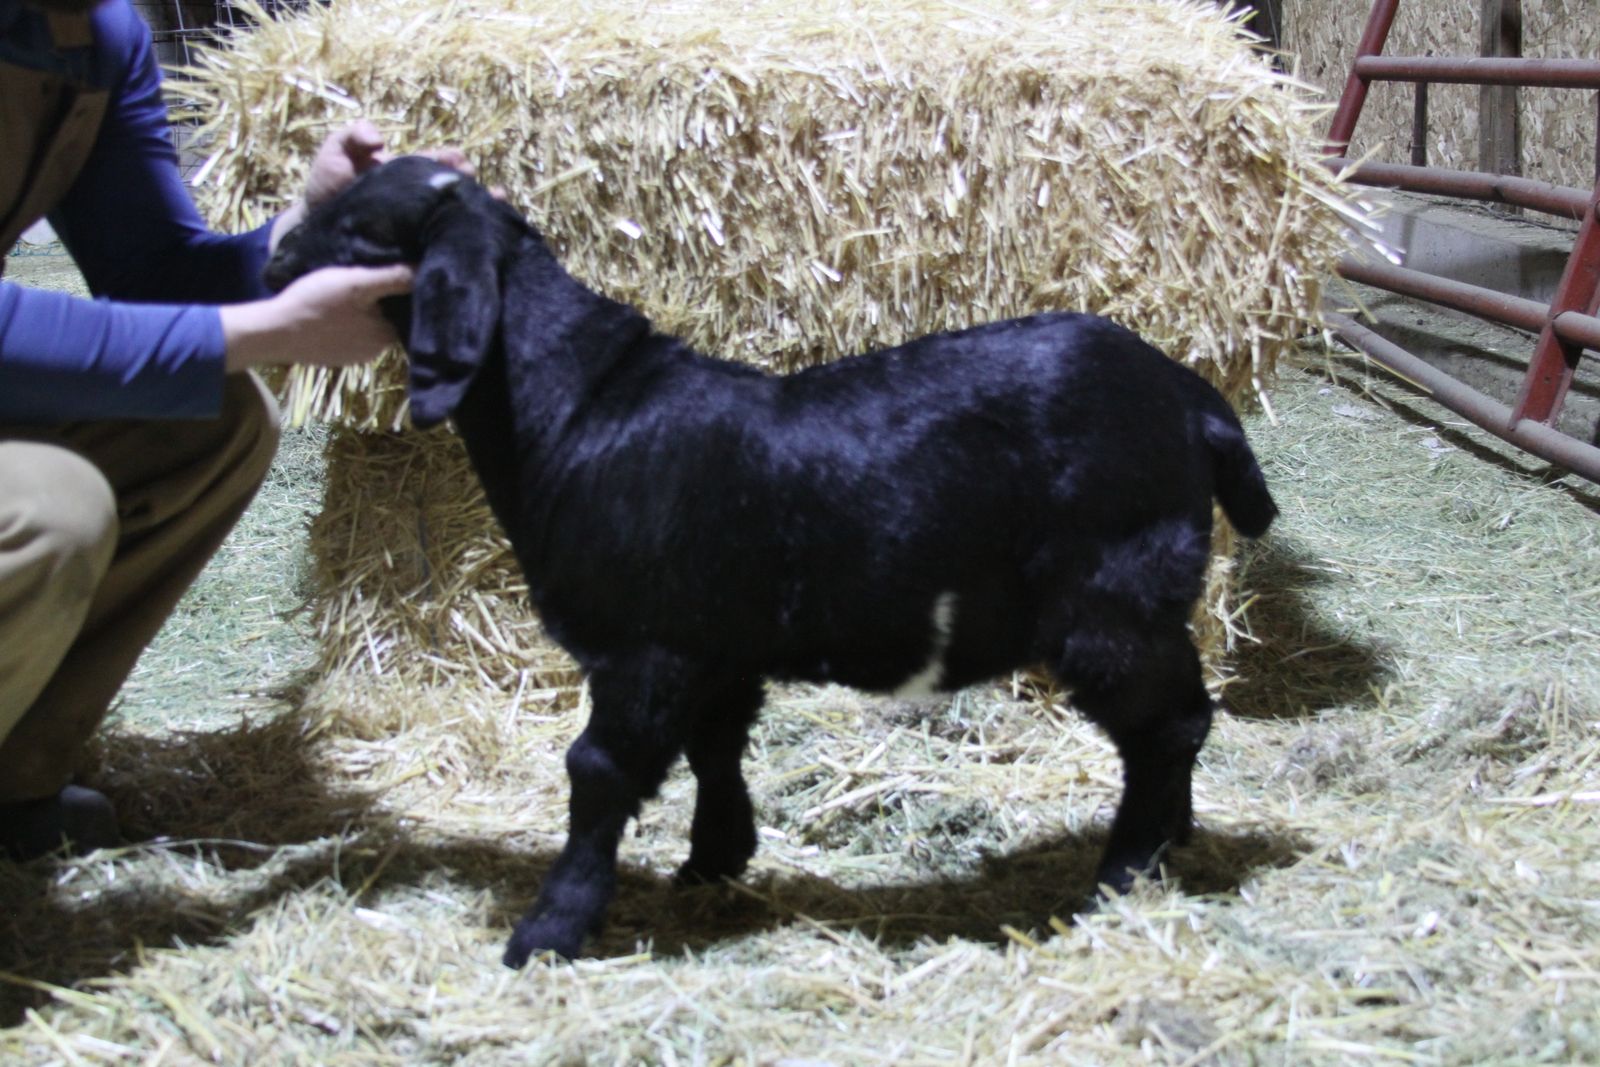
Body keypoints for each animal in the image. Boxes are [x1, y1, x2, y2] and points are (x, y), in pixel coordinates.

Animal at [264, 156, 1279, 969]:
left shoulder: (644, 646)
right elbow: (716, 744)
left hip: (1113, 599)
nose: (271, 259)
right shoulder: (715, 642)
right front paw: (715, 858)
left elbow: (599, 771)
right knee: (1181, 716)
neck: (577, 406)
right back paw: (1172, 838)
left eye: (358, 229)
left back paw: (1121, 873)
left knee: (1168, 724)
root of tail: (1194, 403)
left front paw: (549, 931)